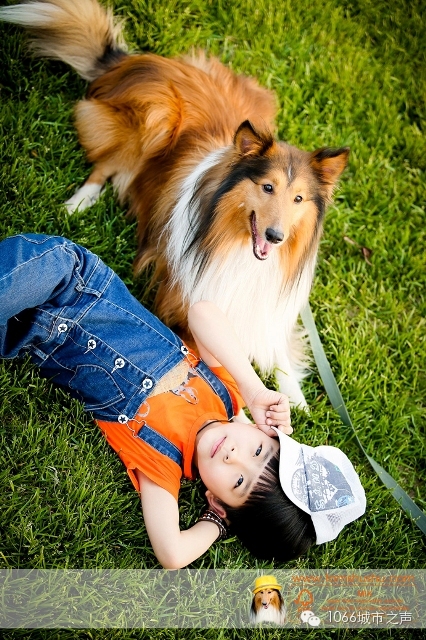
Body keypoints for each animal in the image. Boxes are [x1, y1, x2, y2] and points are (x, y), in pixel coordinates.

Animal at [0, 0, 349, 407]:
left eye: (298, 198)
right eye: (267, 187)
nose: (276, 237)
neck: (233, 244)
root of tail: (138, 61)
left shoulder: (267, 302)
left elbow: (276, 344)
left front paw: (295, 396)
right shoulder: (185, 302)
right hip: (155, 115)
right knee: (106, 164)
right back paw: (78, 203)